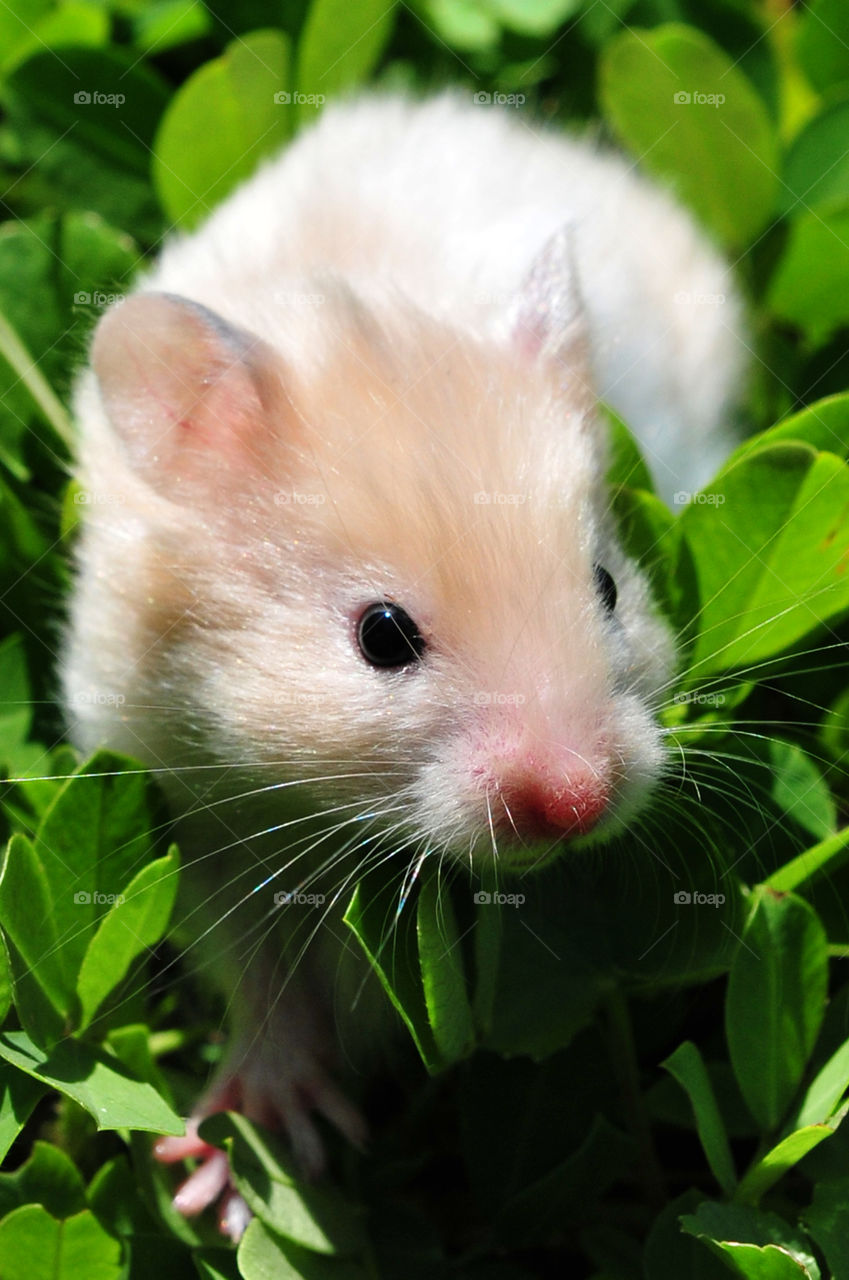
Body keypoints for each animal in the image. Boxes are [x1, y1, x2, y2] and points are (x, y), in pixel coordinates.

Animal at [60, 92, 744, 1237]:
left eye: (608, 587)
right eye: (381, 636)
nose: (578, 801)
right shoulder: (193, 805)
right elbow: (256, 970)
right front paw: (230, 1171)